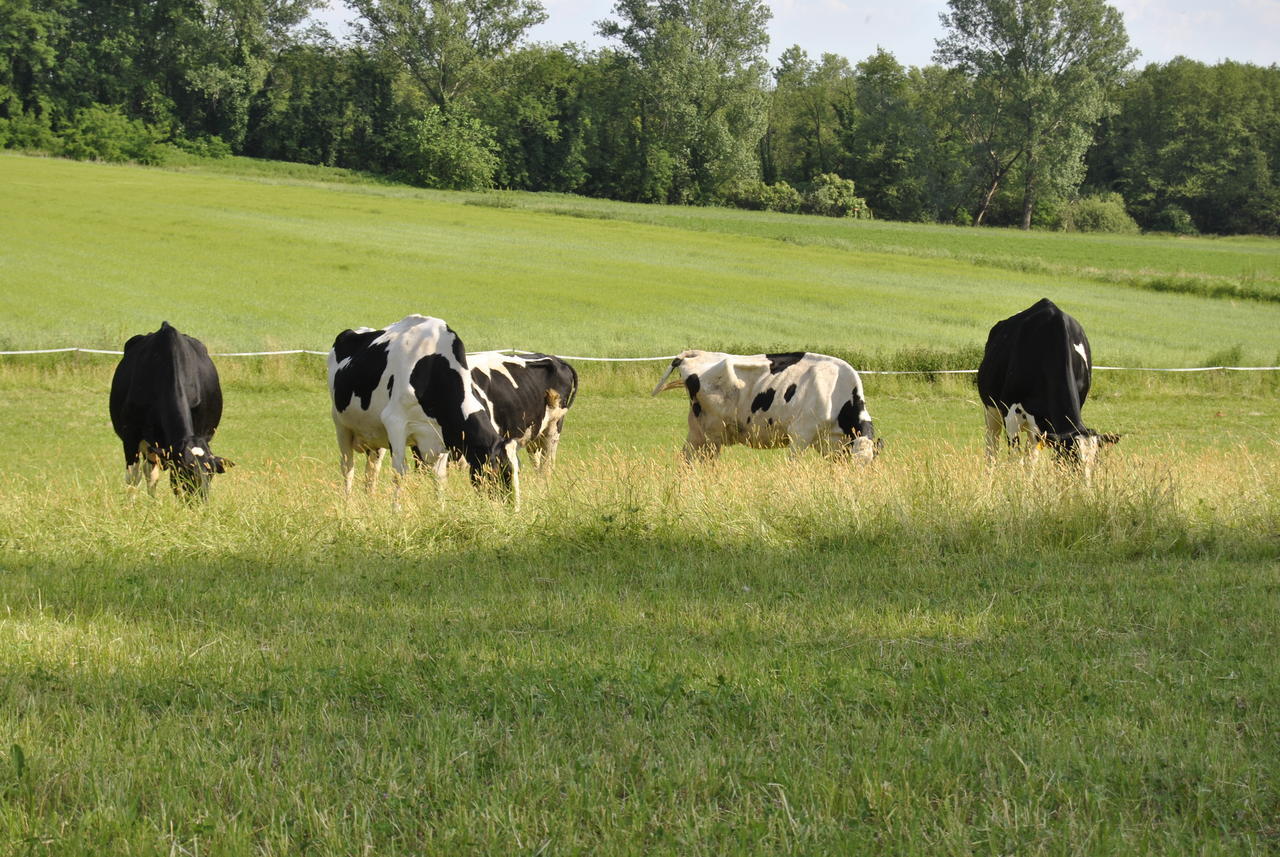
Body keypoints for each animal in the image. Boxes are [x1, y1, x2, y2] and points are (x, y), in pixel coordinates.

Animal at [109, 322, 232, 501]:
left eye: (211, 473)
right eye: (185, 472)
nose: (199, 501)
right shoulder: (130, 437)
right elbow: (133, 478)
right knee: (146, 474)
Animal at [650, 347, 880, 460]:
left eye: (870, 464)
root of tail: (697, 353)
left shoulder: (831, 443)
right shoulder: (800, 434)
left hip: (698, 432)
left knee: (686, 459)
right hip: (711, 433)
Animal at [977, 296, 1121, 470]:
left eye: (1096, 462)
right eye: (1072, 459)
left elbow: (1031, 462)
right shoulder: (1011, 416)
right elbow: (1015, 460)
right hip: (992, 411)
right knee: (991, 447)